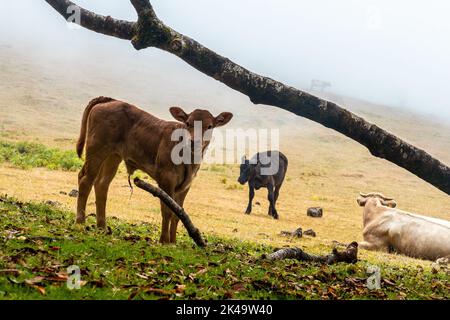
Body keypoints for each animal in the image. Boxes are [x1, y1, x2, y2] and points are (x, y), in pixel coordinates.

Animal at [75, 96, 234, 244]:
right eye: (188, 123)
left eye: (209, 126)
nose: (194, 141)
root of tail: (111, 100)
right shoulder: (166, 179)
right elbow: (167, 210)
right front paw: (164, 241)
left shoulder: (186, 185)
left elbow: (178, 213)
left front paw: (173, 241)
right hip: (97, 147)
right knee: (85, 179)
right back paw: (80, 222)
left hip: (113, 156)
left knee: (101, 184)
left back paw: (102, 227)